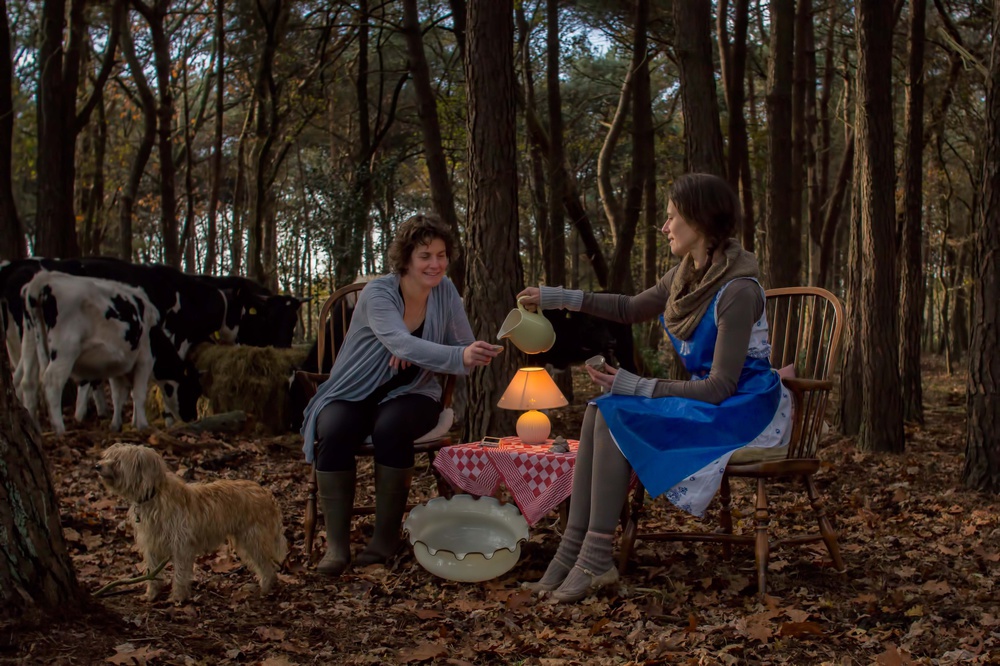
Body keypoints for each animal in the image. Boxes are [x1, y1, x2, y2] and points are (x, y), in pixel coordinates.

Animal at [18, 272, 167, 434]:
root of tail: (43, 278)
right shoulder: (145, 359)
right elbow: (139, 393)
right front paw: (142, 425)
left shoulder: (121, 366)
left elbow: (122, 394)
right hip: (65, 349)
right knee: (52, 382)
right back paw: (60, 429)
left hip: (29, 339)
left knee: (28, 382)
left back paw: (34, 426)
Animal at [97, 440, 288, 600]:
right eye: (109, 457)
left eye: (118, 461)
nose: (97, 466)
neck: (154, 494)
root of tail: (266, 492)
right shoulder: (151, 545)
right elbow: (152, 572)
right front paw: (151, 594)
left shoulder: (181, 546)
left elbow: (180, 574)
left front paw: (177, 597)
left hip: (252, 540)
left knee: (268, 567)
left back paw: (265, 589)